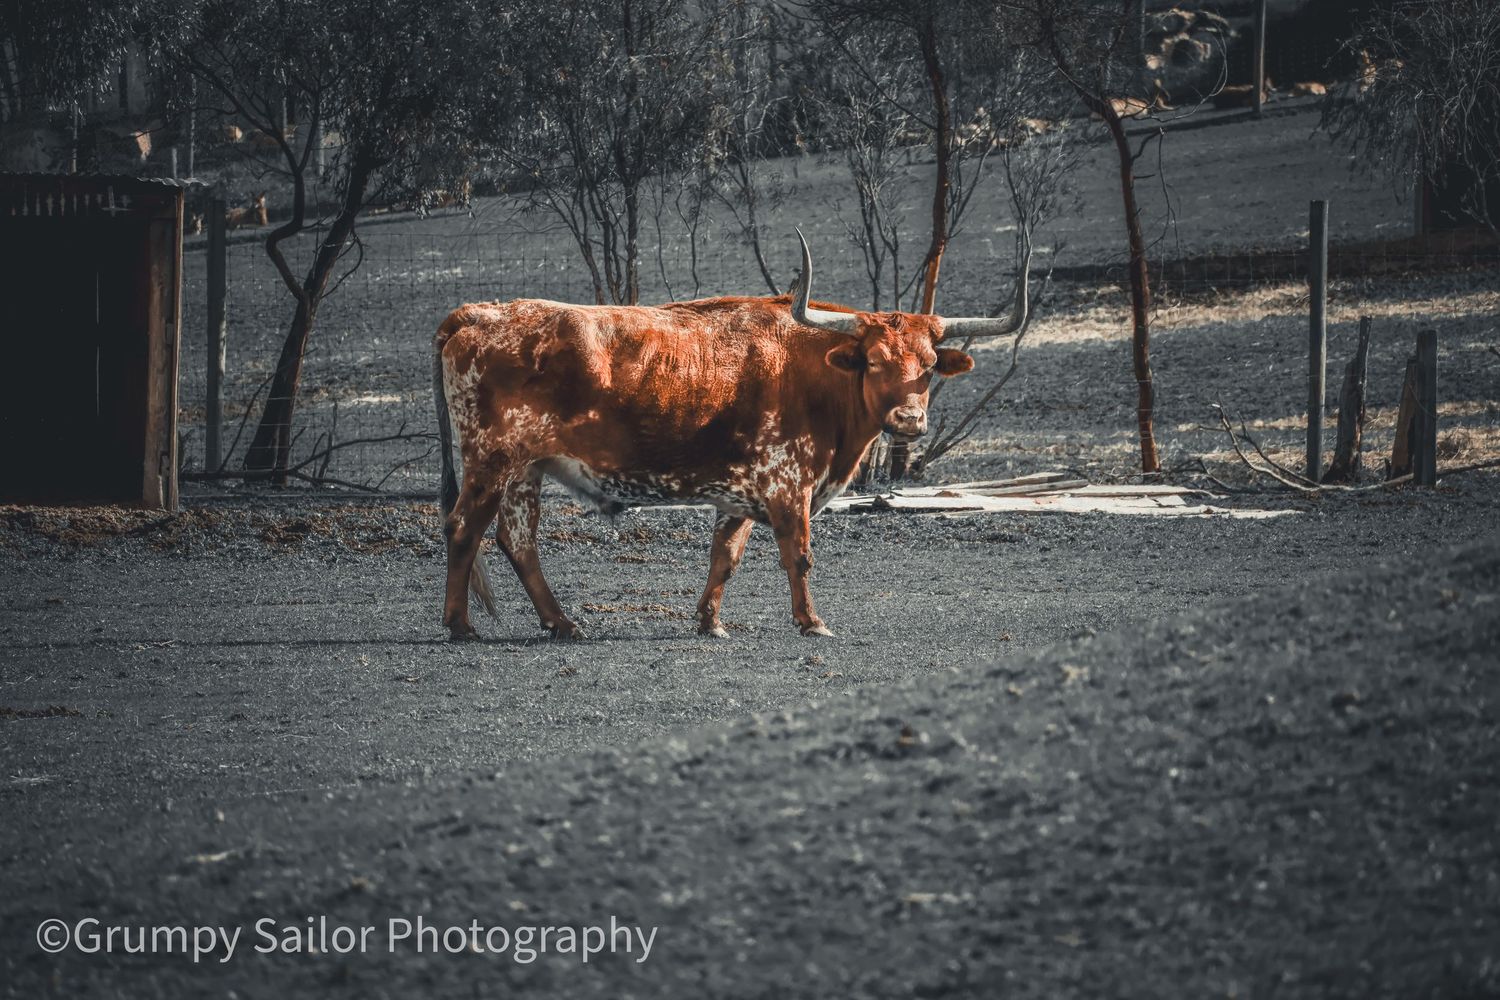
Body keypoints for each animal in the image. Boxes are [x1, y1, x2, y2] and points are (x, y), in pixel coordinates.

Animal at [432, 232, 1030, 642]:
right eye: (877, 361)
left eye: (928, 367)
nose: (909, 420)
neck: (814, 369)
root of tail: (479, 313)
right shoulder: (788, 483)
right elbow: (799, 554)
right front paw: (811, 621)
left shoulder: (744, 489)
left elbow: (726, 554)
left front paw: (710, 621)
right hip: (491, 459)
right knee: (464, 528)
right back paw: (461, 625)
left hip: (524, 469)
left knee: (518, 540)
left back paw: (561, 623)